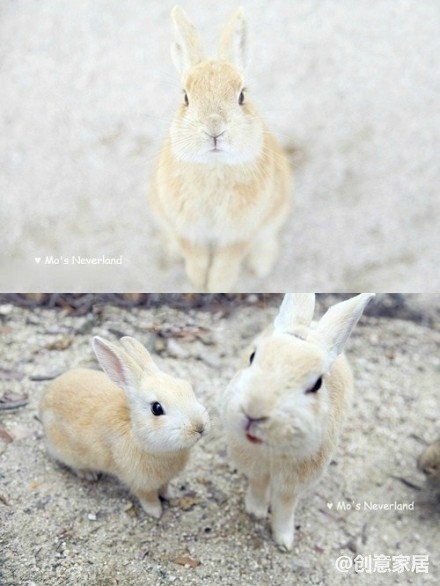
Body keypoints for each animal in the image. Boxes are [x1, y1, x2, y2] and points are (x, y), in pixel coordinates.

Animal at [38, 334, 210, 516]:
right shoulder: (140, 482)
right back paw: (89, 475)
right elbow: (148, 498)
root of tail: (43, 401)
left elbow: (164, 488)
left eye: (187, 386)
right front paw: (155, 512)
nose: (199, 427)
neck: (135, 430)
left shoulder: (164, 480)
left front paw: (171, 495)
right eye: (156, 408)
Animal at [150, 6, 292, 292]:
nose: (214, 129)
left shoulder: (239, 232)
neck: (214, 167)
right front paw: (197, 283)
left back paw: (261, 266)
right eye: (185, 98)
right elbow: (195, 257)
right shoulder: (187, 230)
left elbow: (227, 262)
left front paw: (217, 286)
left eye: (242, 96)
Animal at [220, 292, 374, 548]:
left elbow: (285, 506)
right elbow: (258, 487)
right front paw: (255, 512)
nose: (254, 411)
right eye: (252, 356)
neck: (270, 450)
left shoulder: (293, 482)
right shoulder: (256, 469)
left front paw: (284, 541)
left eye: (317, 384)